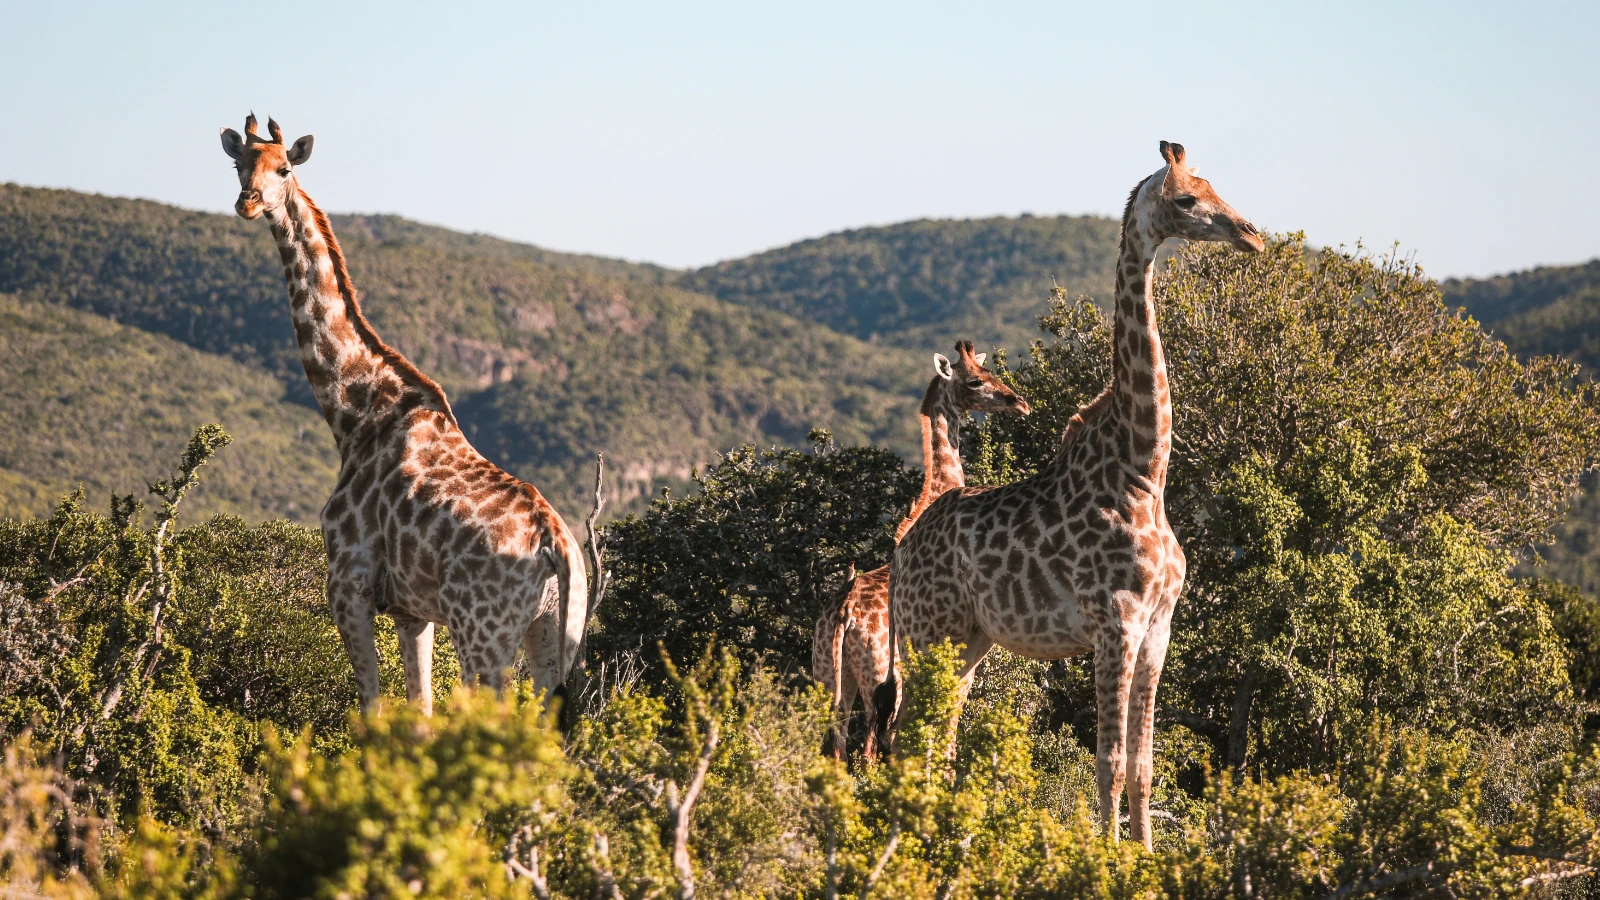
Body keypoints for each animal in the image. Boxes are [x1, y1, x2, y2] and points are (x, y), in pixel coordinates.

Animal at [220, 115, 588, 714]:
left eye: (285, 168)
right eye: (238, 164)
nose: (247, 203)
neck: (354, 412)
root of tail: (556, 546)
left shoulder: (347, 583)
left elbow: (371, 708)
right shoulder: (413, 610)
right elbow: (419, 709)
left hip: (482, 632)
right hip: (556, 632)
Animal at [812, 341, 1029, 761]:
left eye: (989, 372)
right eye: (975, 381)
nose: (1020, 403)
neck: (937, 490)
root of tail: (843, 614)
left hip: (828, 674)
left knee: (833, 746)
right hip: (878, 673)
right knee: (873, 745)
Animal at [876, 142, 1262, 847]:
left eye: (1213, 185)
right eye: (1188, 198)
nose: (1250, 234)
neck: (1144, 473)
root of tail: (901, 550)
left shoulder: (1160, 627)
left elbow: (1143, 761)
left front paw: (1144, 854)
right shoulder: (1116, 622)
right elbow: (1107, 759)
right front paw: (1104, 855)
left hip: (968, 640)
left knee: (935, 735)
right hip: (925, 634)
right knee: (904, 736)